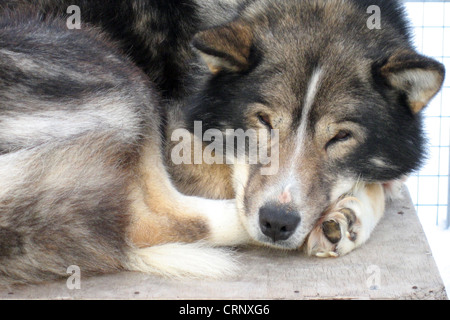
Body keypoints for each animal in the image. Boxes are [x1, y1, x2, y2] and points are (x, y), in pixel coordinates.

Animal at [0, 0, 442, 284]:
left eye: (340, 137)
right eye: (263, 120)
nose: (277, 223)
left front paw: (347, 219)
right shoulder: (181, 138)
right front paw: (347, 211)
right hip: (112, 68)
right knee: (151, 220)